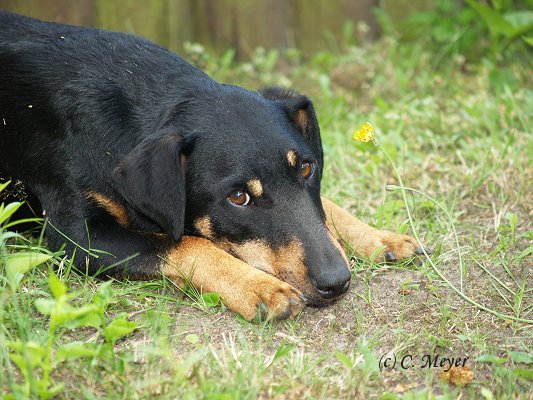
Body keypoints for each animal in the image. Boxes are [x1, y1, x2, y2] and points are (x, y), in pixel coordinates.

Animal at [1, 10, 424, 320]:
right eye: (238, 198)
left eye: (306, 169)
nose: (337, 283)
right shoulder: (77, 237)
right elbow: (186, 243)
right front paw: (259, 287)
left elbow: (326, 206)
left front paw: (377, 237)